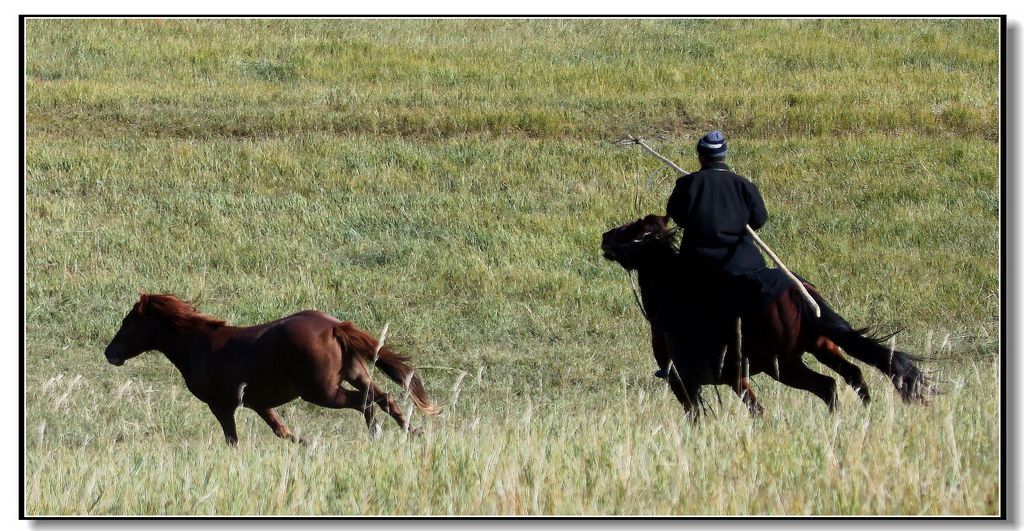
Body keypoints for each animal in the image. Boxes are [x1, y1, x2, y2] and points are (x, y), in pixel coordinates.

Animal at [104, 292, 440, 446]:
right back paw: (412, 432)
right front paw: (305, 443)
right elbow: (282, 431)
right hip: (355, 374)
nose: (110, 354)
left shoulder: (221, 405)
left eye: (127, 322)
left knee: (365, 402)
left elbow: (233, 440)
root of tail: (333, 326)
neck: (197, 344)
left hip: (322, 391)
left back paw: (376, 434)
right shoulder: (257, 402)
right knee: (384, 398)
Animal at [598, 214, 929, 415]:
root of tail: (798, 291)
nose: (604, 237)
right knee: (849, 376)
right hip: (818, 348)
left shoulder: (689, 381)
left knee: (830, 384)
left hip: (781, 363)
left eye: (630, 231)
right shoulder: (733, 377)